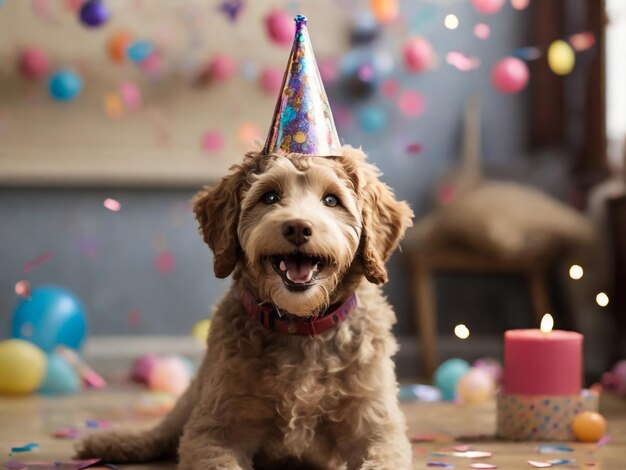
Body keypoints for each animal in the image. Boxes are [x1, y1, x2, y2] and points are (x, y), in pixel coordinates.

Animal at [74, 145, 414, 468]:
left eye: (331, 200)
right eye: (270, 196)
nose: (297, 227)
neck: (298, 325)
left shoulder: (376, 427)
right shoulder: (214, 428)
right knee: (162, 432)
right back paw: (110, 442)